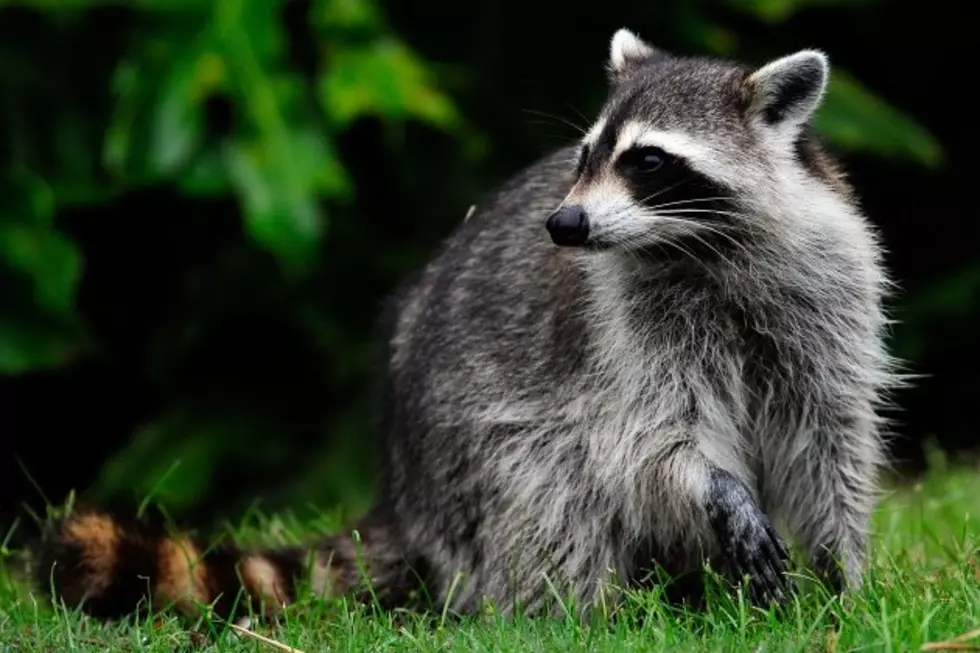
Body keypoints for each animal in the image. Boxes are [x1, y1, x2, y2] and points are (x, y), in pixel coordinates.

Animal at [36, 29, 896, 620]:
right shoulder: (624, 329)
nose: (564, 224)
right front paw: (719, 491)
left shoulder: (827, 288)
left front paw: (844, 576)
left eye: (648, 161)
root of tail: (402, 492)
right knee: (551, 488)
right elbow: (646, 443)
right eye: (584, 154)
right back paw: (589, 614)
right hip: (469, 453)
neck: (698, 244)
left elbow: (830, 435)